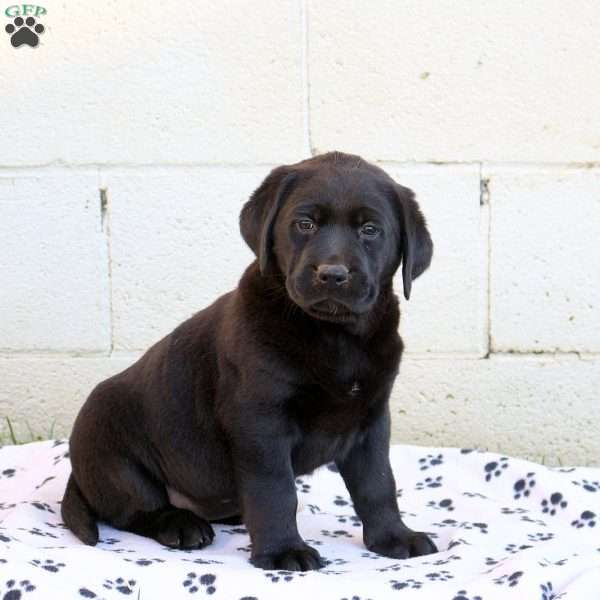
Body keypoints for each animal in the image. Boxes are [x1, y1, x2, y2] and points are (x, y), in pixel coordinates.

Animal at [62, 151, 436, 572]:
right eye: (304, 224)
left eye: (370, 230)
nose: (332, 274)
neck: (336, 335)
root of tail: (78, 476)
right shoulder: (260, 422)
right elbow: (275, 490)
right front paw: (283, 550)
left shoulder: (370, 421)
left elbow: (378, 484)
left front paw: (394, 537)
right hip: (109, 442)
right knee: (136, 509)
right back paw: (181, 525)